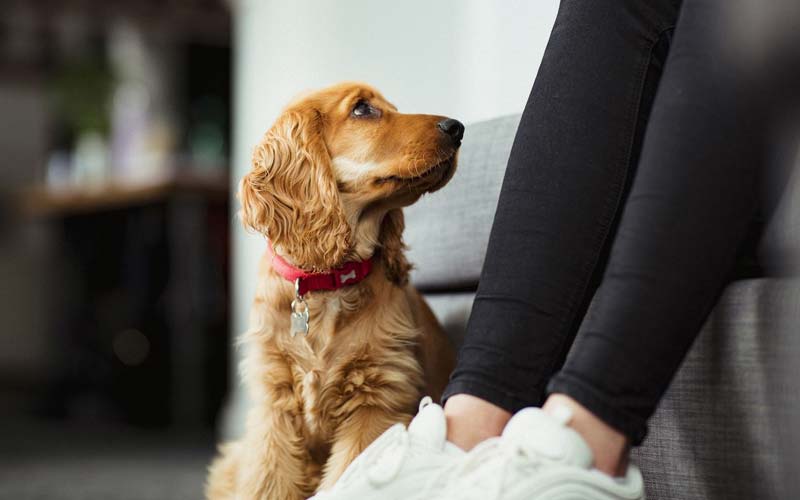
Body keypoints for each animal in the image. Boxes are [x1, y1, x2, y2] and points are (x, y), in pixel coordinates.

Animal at [208, 83, 462, 500]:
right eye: (362, 109)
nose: (457, 128)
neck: (325, 283)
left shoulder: (376, 403)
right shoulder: (274, 407)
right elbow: (267, 482)